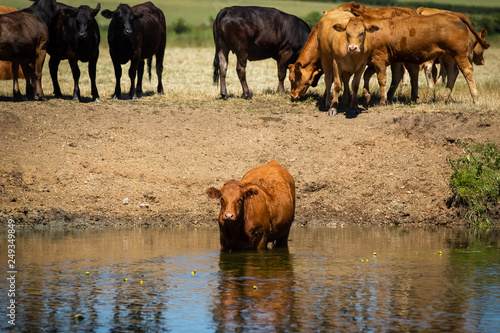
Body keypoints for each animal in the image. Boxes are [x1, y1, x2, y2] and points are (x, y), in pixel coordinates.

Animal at [358, 12, 490, 104]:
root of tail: (454, 15)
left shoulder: (379, 60)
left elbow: (381, 79)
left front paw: (381, 101)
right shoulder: (374, 62)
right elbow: (366, 75)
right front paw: (367, 95)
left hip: (459, 54)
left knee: (467, 70)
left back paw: (475, 98)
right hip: (448, 56)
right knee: (453, 73)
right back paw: (444, 98)